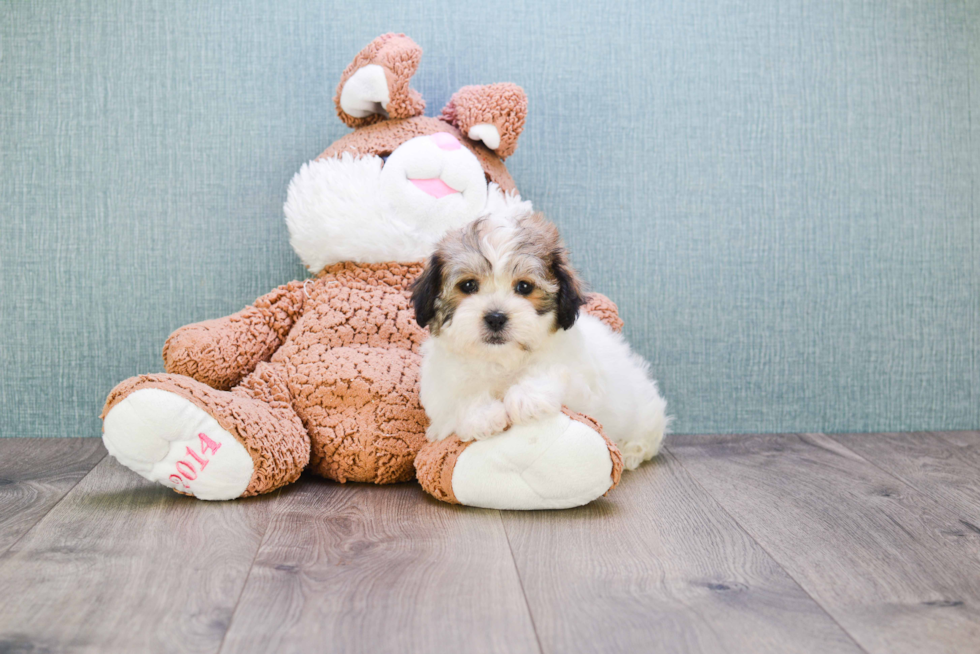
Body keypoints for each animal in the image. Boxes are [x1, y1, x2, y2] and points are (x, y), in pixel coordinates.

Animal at [410, 210, 668, 472]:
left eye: (524, 287)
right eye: (468, 285)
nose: (495, 317)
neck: (501, 360)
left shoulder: (581, 386)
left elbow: (553, 370)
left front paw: (526, 398)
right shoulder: (440, 390)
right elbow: (457, 400)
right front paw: (482, 415)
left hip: (645, 413)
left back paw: (630, 451)